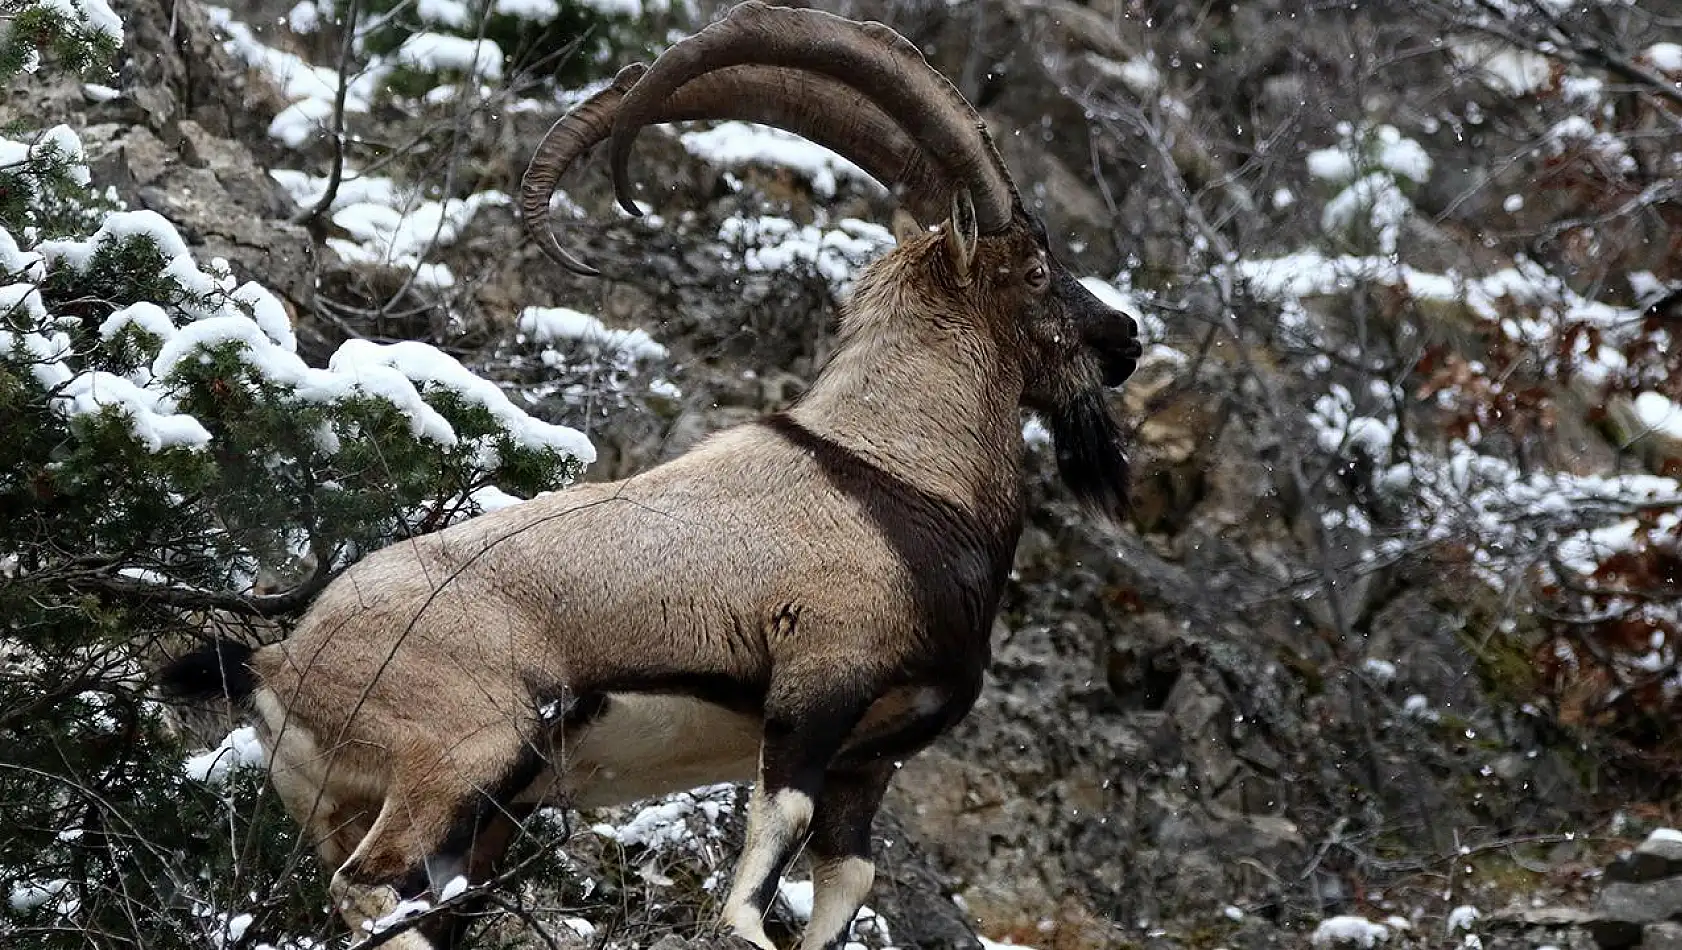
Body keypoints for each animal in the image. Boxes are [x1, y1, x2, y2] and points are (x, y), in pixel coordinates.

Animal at [160, 3, 1143, 941]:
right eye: (1037, 267)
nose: (1124, 338)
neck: (898, 474)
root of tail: (279, 660)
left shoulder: (871, 759)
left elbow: (848, 878)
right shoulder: (819, 683)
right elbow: (775, 831)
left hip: (461, 811)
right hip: (465, 752)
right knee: (366, 889)